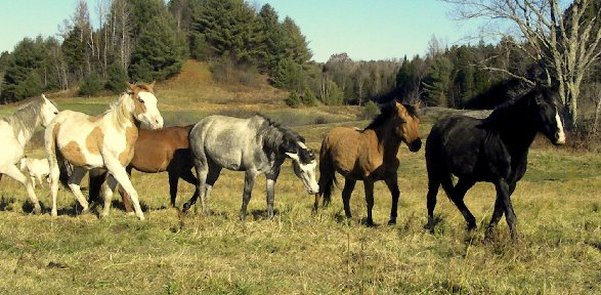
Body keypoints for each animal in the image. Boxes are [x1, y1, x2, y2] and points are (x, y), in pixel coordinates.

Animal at [45, 82, 164, 221]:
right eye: (141, 100)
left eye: (155, 100)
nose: (159, 123)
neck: (118, 129)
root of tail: (56, 119)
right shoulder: (115, 167)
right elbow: (131, 191)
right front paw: (141, 217)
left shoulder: (118, 168)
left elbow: (108, 192)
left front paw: (104, 215)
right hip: (53, 158)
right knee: (54, 183)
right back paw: (54, 214)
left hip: (82, 165)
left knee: (73, 183)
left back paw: (86, 208)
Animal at [185, 115, 322, 220]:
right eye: (301, 170)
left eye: (315, 167)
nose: (315, 189)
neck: (264, 141)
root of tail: (197, 126)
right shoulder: (251, 172)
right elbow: (247, 195)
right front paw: (242, 218)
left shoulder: (272, 173)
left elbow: (270, 197)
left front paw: (270, 219)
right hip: (201, 163)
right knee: (201, 188)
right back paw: (204, 214)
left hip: (215, 167)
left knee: (208, 188)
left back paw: (208, 213)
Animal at [424, 84, 564, 239]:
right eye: (541, 106)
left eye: (560, 105)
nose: (560, 137)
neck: (507, 138)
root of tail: (439, 126)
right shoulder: (501, 180)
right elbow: (509, 215)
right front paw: (515, 241)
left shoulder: (511, 183)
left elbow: (498, 212)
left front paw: (488, 236)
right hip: (434, 172)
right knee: (432, 199)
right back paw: (431, 231)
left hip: (468, 178)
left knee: (456, 195)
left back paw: (471, 225)